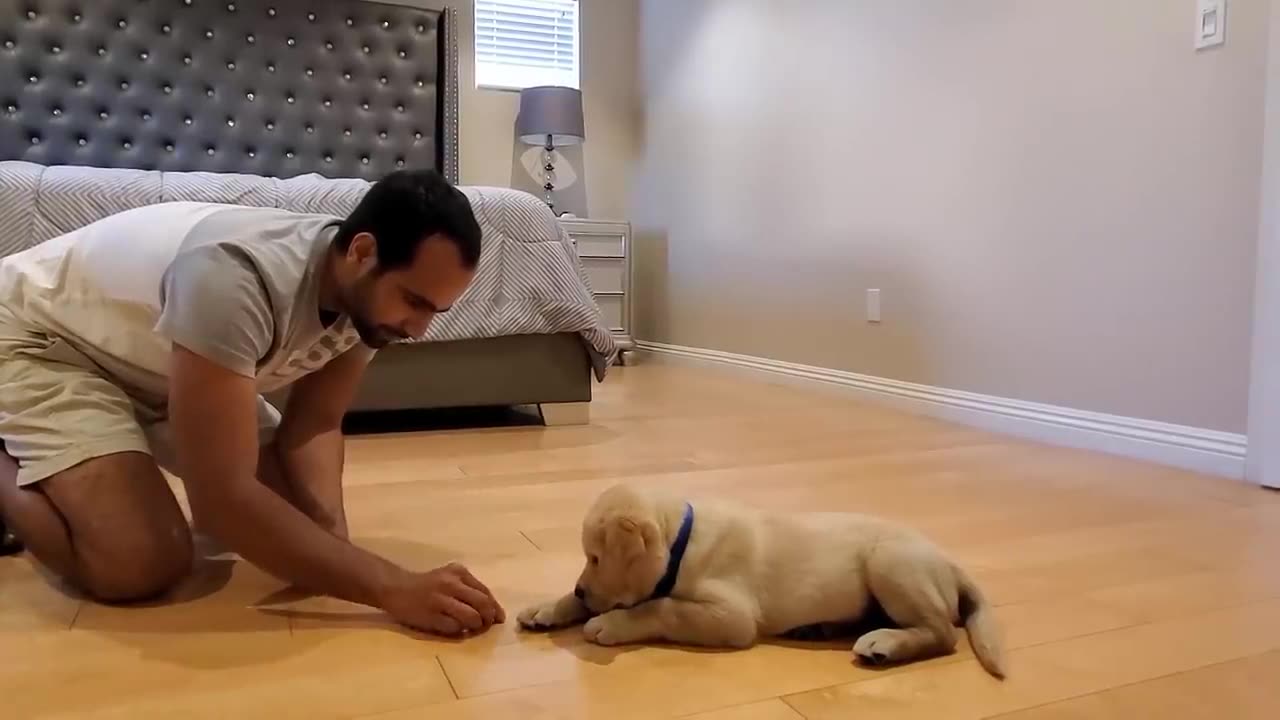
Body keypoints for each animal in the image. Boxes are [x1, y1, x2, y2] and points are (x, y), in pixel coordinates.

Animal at [514, 479, 1003, 676]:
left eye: (596, 557)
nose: (581, 589)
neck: (681, 542)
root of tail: (948, 561)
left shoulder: (731, 617)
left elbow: (662, 606)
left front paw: (609, 623)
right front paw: (550, 606)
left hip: (889, 561)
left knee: (942, 633)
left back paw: (885, 644)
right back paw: (818, 628)